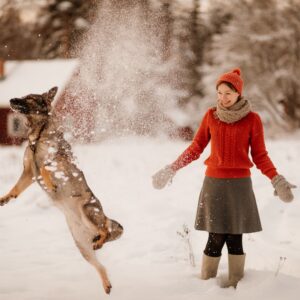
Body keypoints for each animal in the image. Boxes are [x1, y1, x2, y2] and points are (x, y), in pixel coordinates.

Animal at [0, 86, 123, 292]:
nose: (10, 99)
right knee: (100, 265)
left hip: (88, 212)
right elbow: (16, 187)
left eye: (29, 98)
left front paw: (51, 183)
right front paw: (5, 198)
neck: (38, 135)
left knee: (105, 229)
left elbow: (44, 167)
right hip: (82, 247)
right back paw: (106, 282)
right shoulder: (28, 173)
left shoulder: (56, 162)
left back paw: (101, 239)